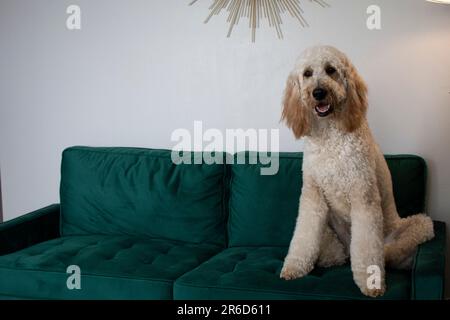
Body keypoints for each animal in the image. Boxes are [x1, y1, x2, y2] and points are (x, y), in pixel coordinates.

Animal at [280, 45, 434, 298]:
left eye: (331, 70)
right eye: (307, 73)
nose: (319, 92)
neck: (330, 137)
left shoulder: (363, 194)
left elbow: (367, 247)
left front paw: (372, 282)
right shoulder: (313, 195)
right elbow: (303, 237)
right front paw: (294, 267)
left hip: (418, 226)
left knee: (392, 250)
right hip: (329, 230)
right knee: (334, 254)